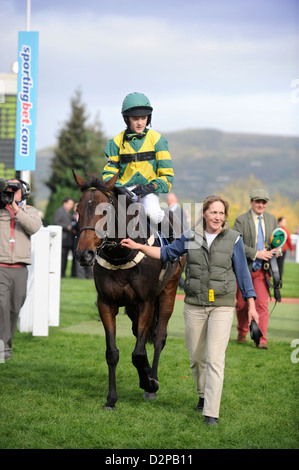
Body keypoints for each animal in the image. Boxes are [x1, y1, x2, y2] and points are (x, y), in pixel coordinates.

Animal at [72, 171, 185, 410]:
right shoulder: (107, 303)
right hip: (132, 308)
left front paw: (150, 383)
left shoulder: (146, 303)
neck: (120, 255)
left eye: (104, 211)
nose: (84, 254)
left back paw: (151, 380)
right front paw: (111, 399)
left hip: (168, 291)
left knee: (159, 336)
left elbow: (138, 353)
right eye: (78, 209)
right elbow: (113, 352)